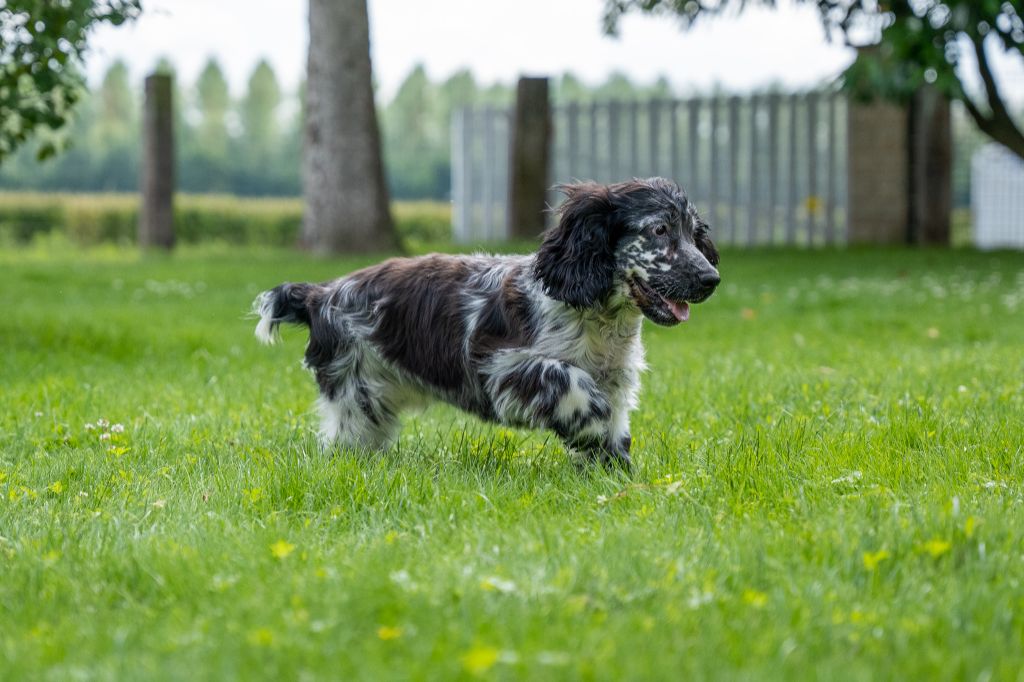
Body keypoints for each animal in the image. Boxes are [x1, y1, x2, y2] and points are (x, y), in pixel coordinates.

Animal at [254, 176, 720, 466]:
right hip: (356, 394)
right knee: (342, 441)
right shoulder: (502, 367)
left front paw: (615, 470)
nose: (711, 278)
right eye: (659, 230)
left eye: (693, 232)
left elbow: (614, 426)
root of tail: (322, 293)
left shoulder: (617, 379)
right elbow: (570, 383)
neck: (597, 319)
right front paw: (592, 430)